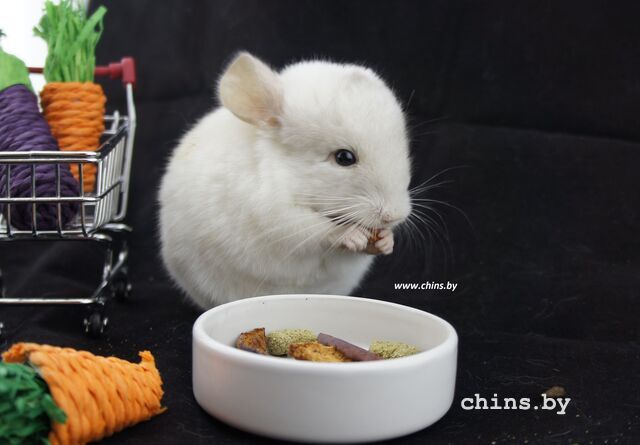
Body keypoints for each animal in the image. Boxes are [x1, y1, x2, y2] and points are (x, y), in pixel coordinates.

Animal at [159, 52, 412, 309]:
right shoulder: (275, 215)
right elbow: (316, 230)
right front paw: (351, 234)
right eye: (344, 157)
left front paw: (386, 242)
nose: (394, 216)